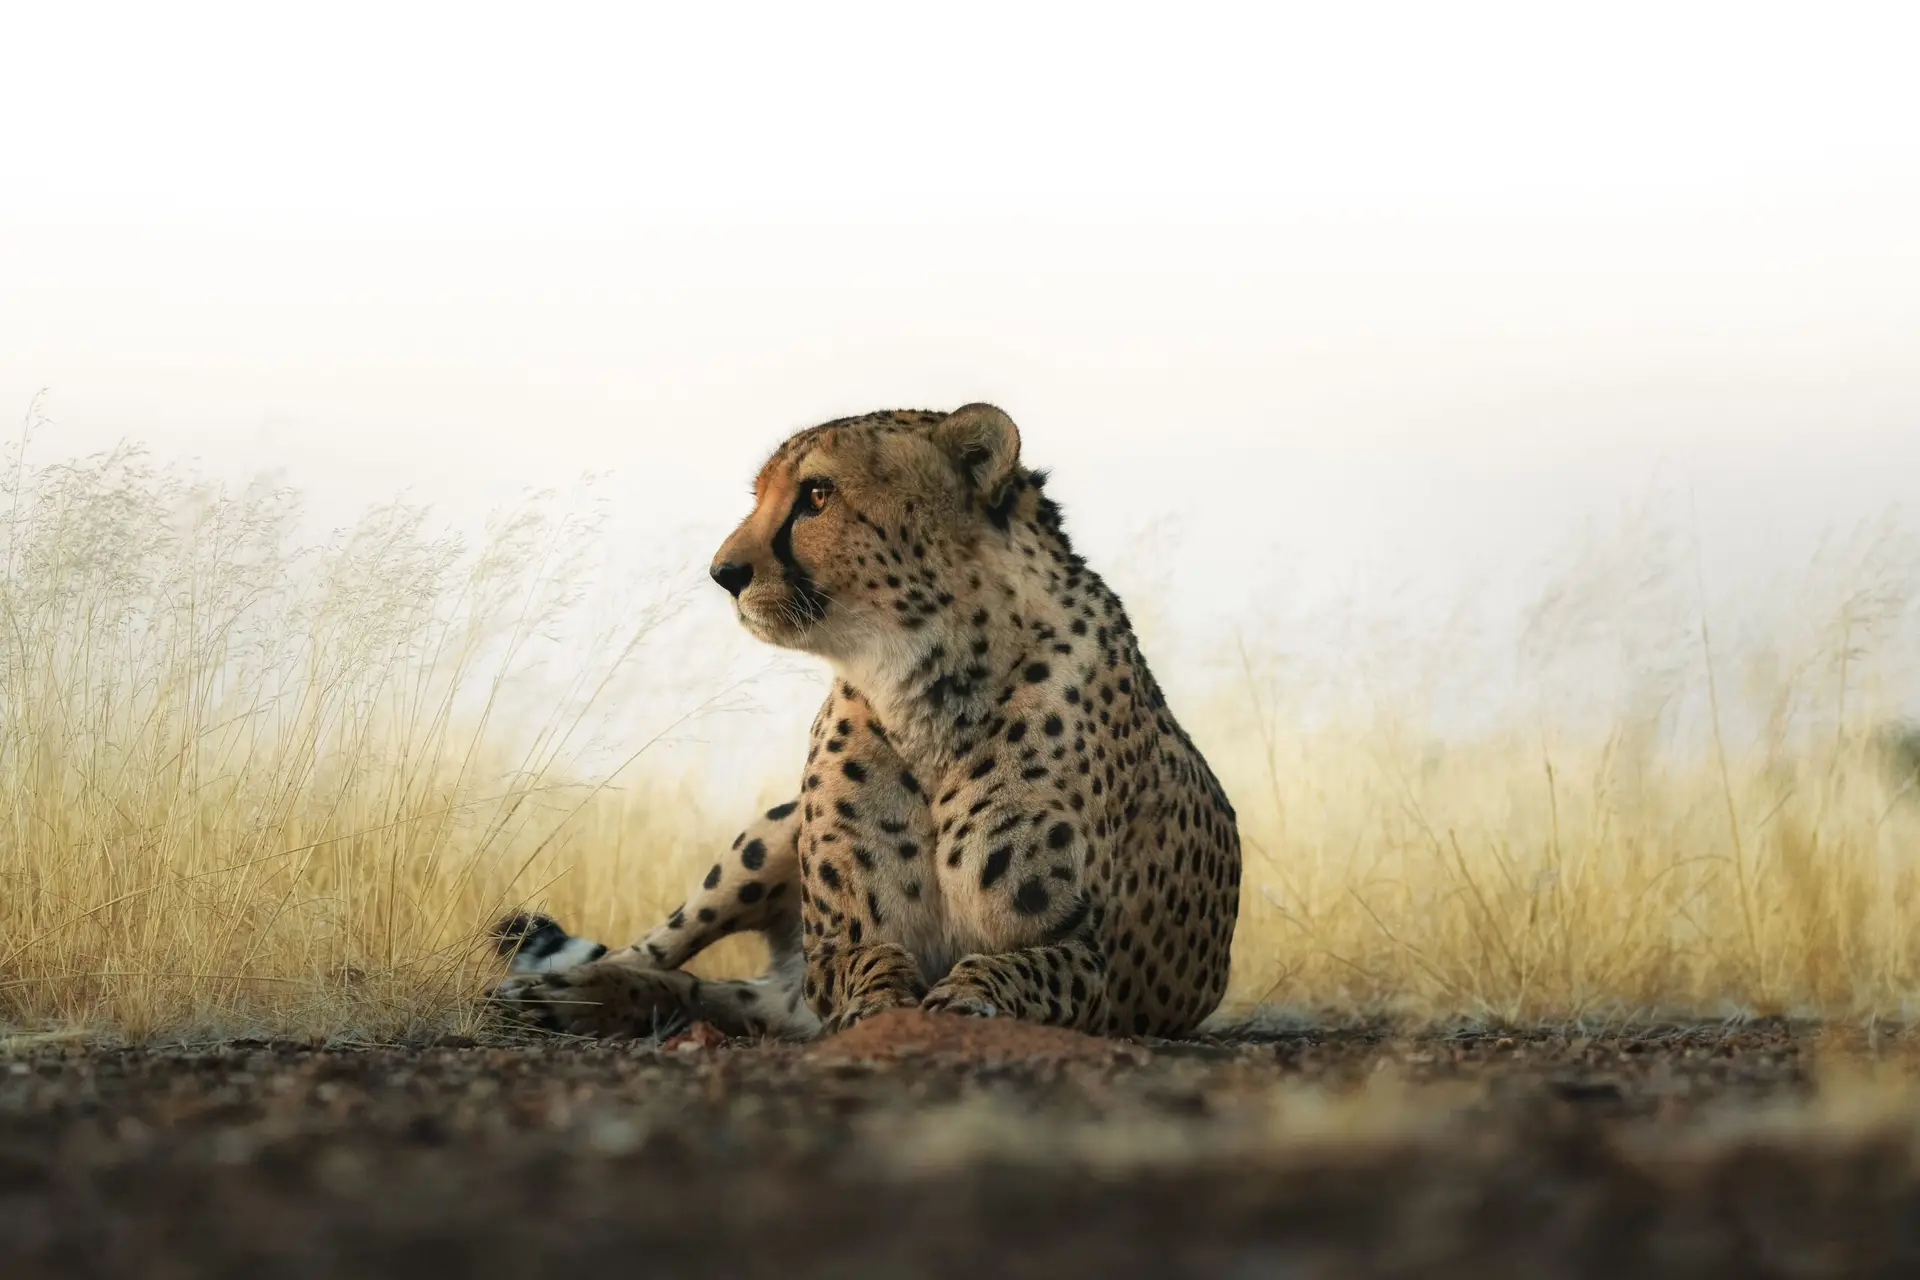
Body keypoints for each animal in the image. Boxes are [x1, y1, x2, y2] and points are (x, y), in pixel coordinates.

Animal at [491, 404, 1241, 1040]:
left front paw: (964, 997)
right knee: (646, 952)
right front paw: (884, 1004)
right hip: (769, 836)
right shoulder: (836, 946)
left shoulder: (1085, 956)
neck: (923, 683)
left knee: (704, 991)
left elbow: (1013, 966)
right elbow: (872, 961)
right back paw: (554, 993)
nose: (723, 572)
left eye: (817, 495)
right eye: (759, 495)